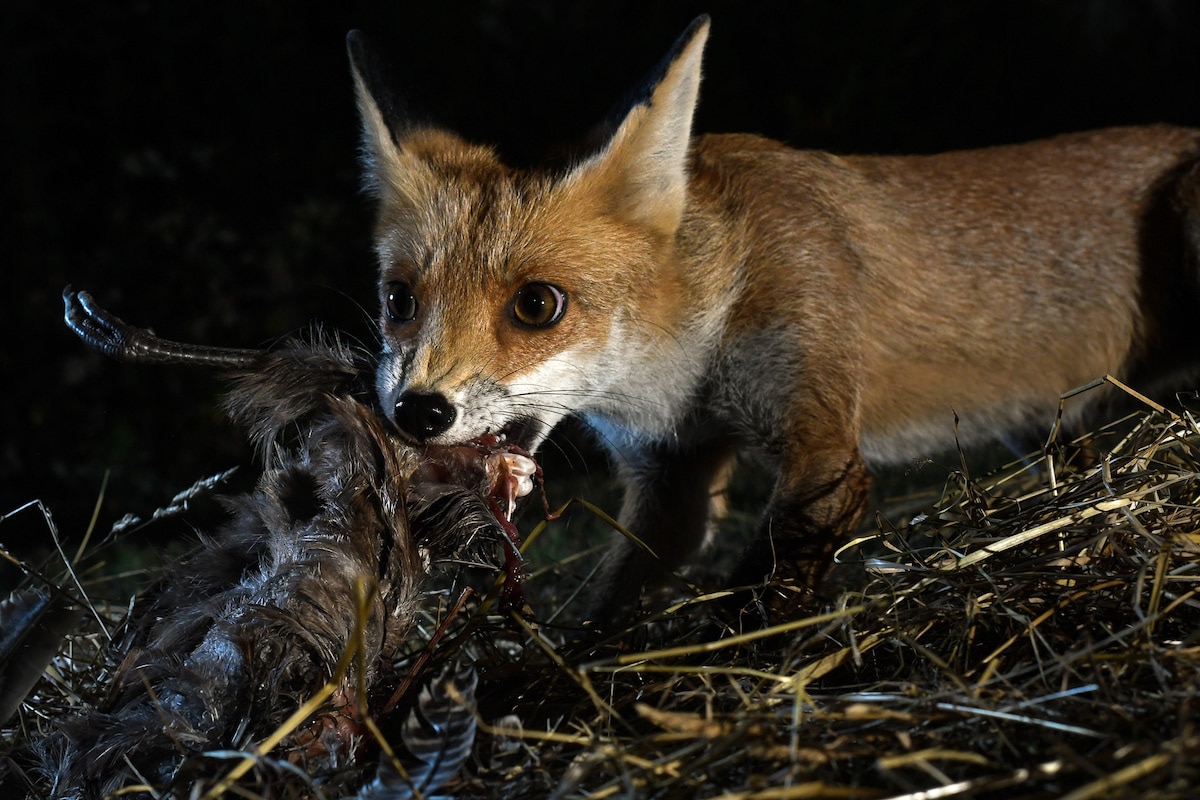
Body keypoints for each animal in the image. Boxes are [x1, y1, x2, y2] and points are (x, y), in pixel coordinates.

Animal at [348, 17, 1200, 618]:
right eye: (398, 300)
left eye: (536, 305)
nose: (416, 411)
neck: (688, 360)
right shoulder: (670, 481)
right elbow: (601, 612)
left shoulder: (822, 449)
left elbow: (760, 591)